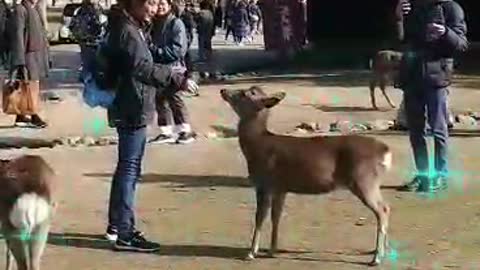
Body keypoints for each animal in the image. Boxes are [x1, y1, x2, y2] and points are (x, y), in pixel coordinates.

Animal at [219, 86, 392, 266]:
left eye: (245, 93)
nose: (223, 90)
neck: (256, 147)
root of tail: (386, 151)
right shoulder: (281, 187)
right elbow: (276, 217)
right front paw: (272, 250)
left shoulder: (264, 183)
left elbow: (259, 218)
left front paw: (251, 252)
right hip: (369, 181)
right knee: (386, 208)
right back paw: (380, 252)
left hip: (364, 179)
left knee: (382, 210)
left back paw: (376, 258)